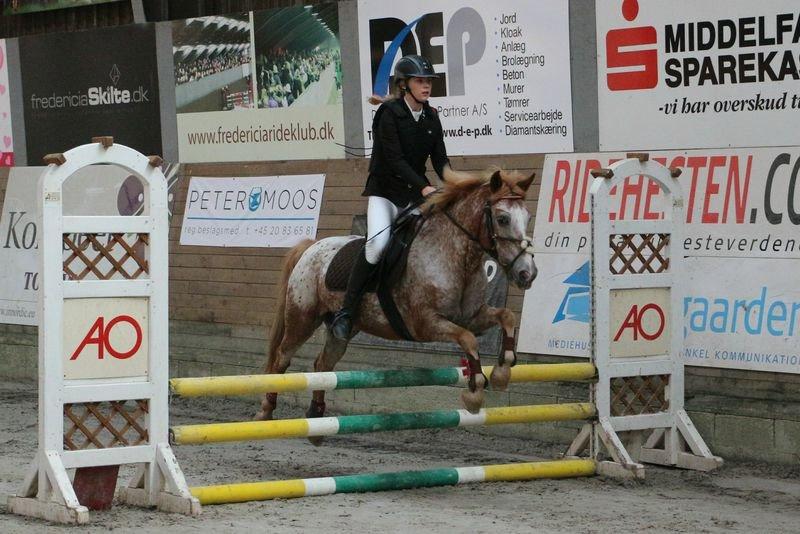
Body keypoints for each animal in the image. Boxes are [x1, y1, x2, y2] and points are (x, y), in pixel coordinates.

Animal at [256, 169, 536, 440]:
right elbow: (468, 340)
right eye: (502, 219)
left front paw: (501, 372)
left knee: (323, 365)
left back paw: (316, 419)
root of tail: (312, 246)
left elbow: (507, 317)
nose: (527, 273)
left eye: (528, 217)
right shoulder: (425, 324)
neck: (456, 257)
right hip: (302, 318)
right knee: (282, 359)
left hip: (342, 330)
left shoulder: (472, 316)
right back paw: (266, 411)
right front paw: (475, 392)